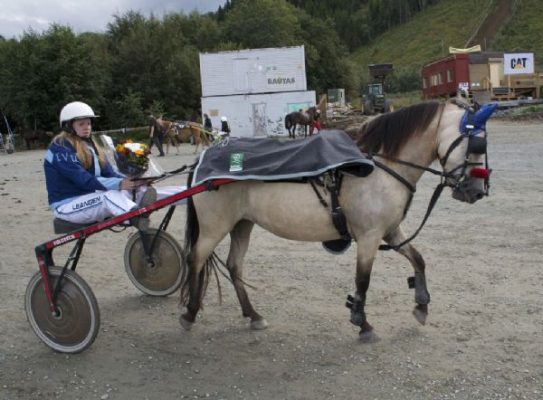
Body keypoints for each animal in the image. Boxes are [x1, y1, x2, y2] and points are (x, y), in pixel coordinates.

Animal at [178, 100, 495, 341]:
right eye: (476, 143)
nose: (477, 191)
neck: (380, 166)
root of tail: (203, 160)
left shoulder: (390, 231)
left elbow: (418, 259)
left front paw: (421, 305)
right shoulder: (369, 236)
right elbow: (362, 280)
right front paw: (362, 323)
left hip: (242, 224)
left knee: (234, 266)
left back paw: (252, 314)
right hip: (215, 227)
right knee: (195, 259)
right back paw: (190, 312)